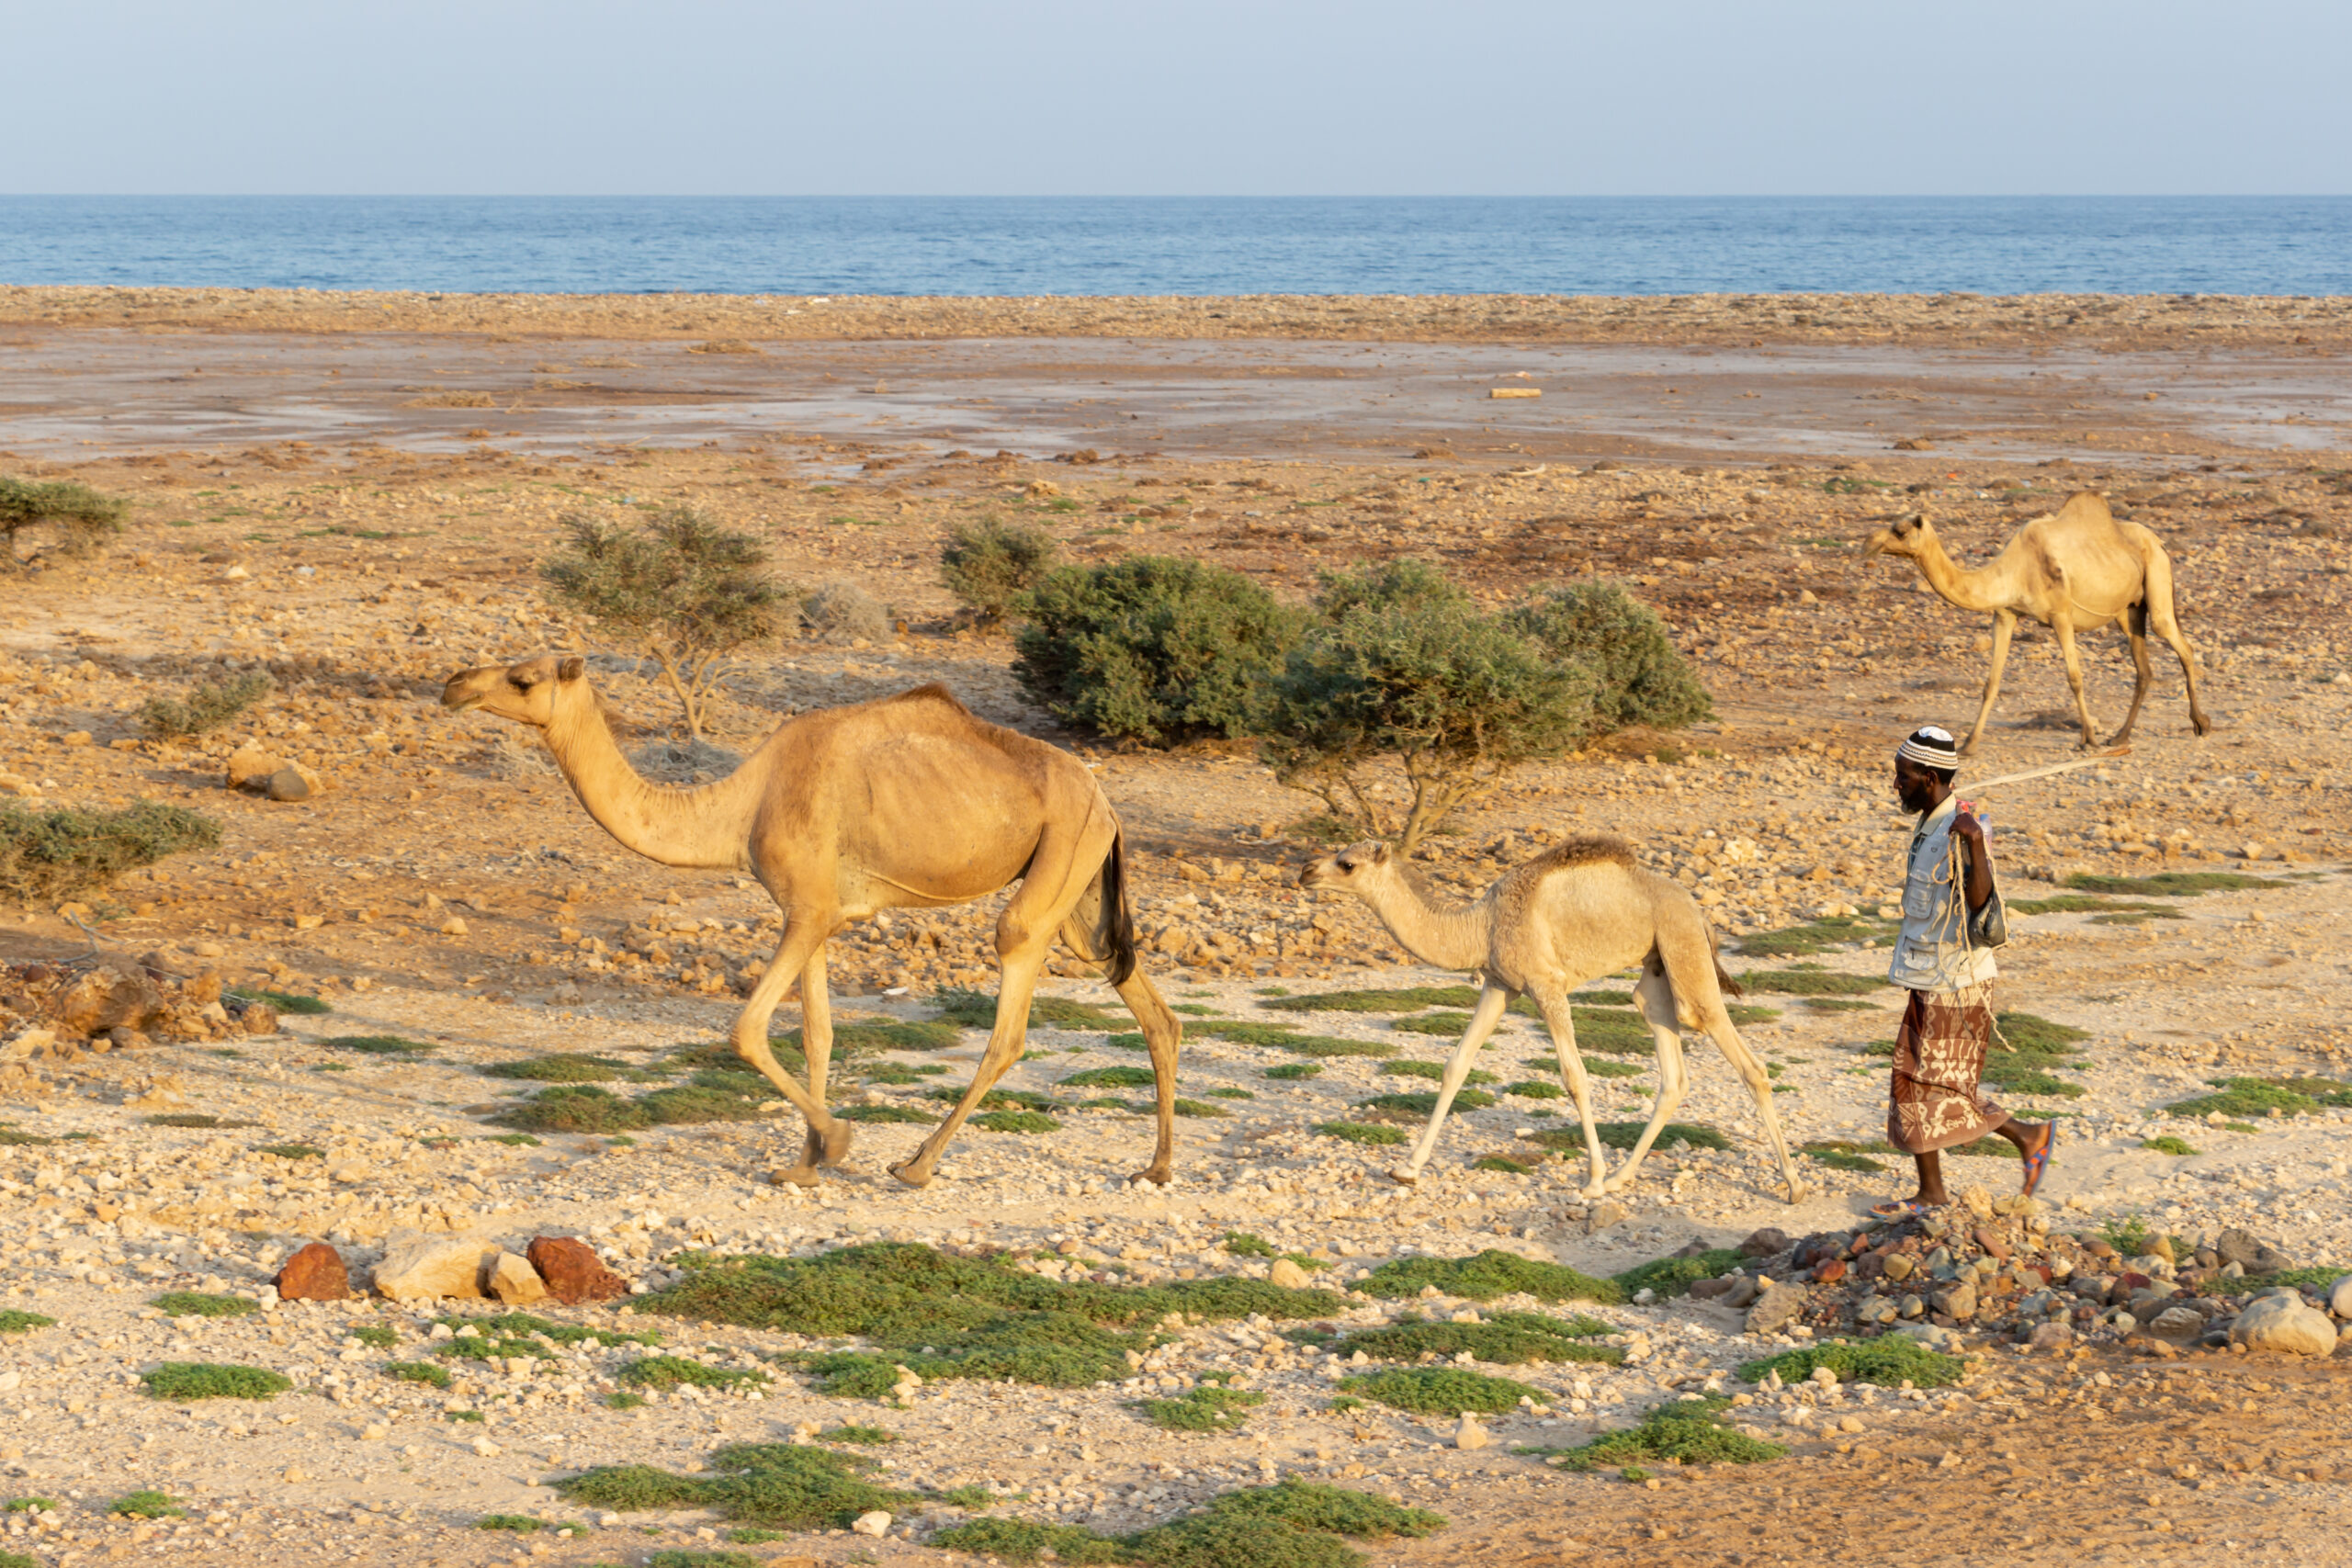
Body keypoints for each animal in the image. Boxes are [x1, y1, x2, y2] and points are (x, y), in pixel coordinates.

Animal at [442, 653, 1185, 1189]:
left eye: (523, 677)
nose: (452, 685)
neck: (741, 808)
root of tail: (1105, 797)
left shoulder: (807, 910)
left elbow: (745, 1030)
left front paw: (838, 1140)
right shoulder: (817, 916)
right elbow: (818, 1035)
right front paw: (802, 1165)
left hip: (1060, 856)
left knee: (1010, 997)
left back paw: (915, 1165)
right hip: (1082, 890)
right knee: (1143, 1000)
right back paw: (1155, 1166)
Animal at [1307, 831, 1796, 1203]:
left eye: (1346, 863)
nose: (1305, 872)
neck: (1480, 925)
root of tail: (1698, 910)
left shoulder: (1547, 986)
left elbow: (1574, 1076)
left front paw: (1592, 1179)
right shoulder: (1499, 984)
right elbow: (1456, 1065)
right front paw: (1406, 1168)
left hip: (1683, 947)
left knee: (1740, 1055)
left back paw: (1794, 1185)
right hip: (1657, 966)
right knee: (1670, 1069)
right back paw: (1622, 1177)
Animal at [1862, 493, 2211, 757]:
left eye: (1899, 531)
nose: (1868, 542)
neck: (2014, 570)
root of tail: (2159, 542)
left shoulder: (2060, 614)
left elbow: (2074, 678)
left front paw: (2088, 739)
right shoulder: (2004, 614)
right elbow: (1991, 682)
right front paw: (1969, 744)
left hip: (2157, 576)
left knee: (2180, 643)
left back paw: (2201, 723)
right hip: (2129, 610)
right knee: (2144, 668)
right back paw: (2121, 736)